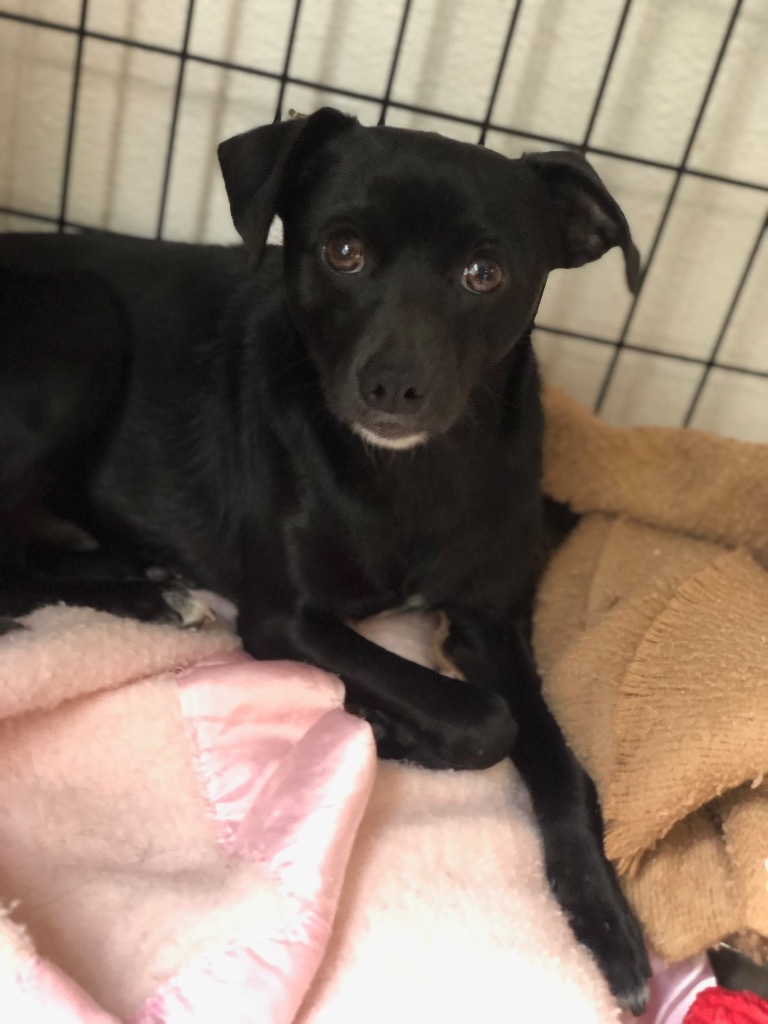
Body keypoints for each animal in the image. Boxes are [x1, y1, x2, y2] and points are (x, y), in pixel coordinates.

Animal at [0, 110, 651, 1007]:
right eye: (343, 250)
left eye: (484, 273)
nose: (394, 387)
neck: (413, 476)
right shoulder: (287, 620)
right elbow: (484, 719)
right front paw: (380, 723)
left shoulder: (492, 622)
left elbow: (556, 760)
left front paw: (604, 916)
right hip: (81, 317)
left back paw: (144, 581)